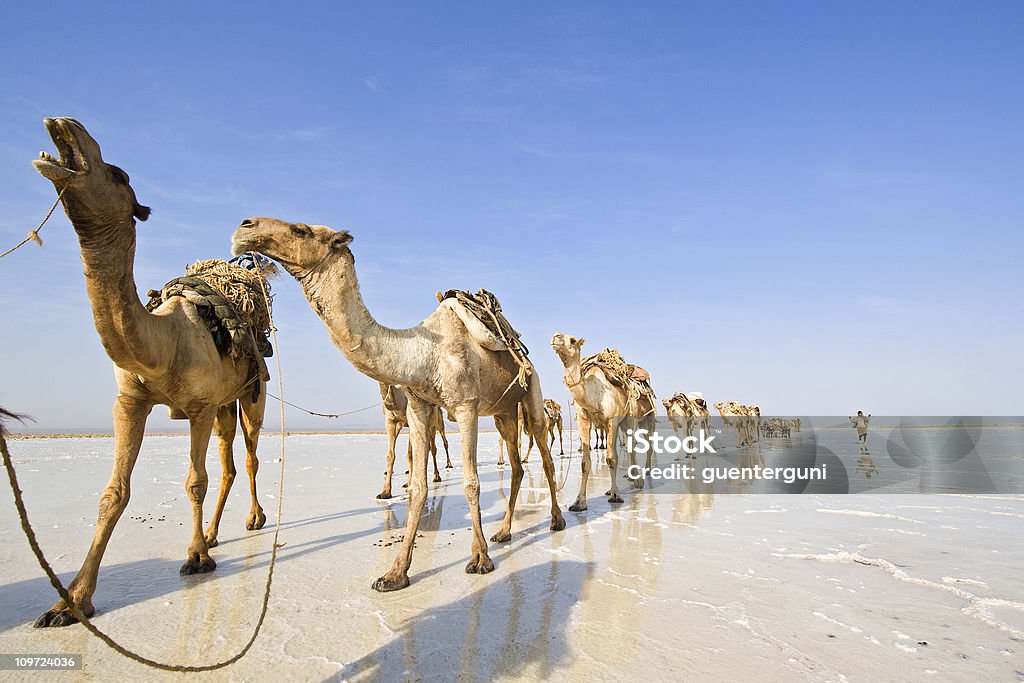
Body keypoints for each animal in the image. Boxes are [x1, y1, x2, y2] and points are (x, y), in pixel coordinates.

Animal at [33, 116, 268, 626]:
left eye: (119, 174)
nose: (66, 123)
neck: (164, 345)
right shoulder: (131, 401)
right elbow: (113, 494)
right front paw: (70, 602)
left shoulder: (198, 407)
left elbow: (194, 481)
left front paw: (195, 559)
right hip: (222, 407)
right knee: (229, 463)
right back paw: (215, 533)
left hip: (251, 394)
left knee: (250, 455)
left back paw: (253, 519)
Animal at [234, 216, 569, 589]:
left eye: (301, 229)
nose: (245, 227)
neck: (423, 354)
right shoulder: (420, 407)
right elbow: (418, 486)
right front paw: (396, 572)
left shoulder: (465, 407)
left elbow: (470, 482)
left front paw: (480, 559)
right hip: (504, 412)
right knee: (517, 465)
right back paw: (504, 532)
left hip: (532, 393)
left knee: (545, 456)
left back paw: (556, 520)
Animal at [552, 333, 655, 509]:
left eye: (572, 340)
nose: (555, 337)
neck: (593, 395)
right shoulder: (583, 420)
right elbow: (585, 462)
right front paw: (579, 502)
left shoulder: (612, 419)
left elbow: (611, 459)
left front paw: (616, 495)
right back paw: (612, 488)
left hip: (634, 417)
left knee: (633, 446)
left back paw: (639, 480)